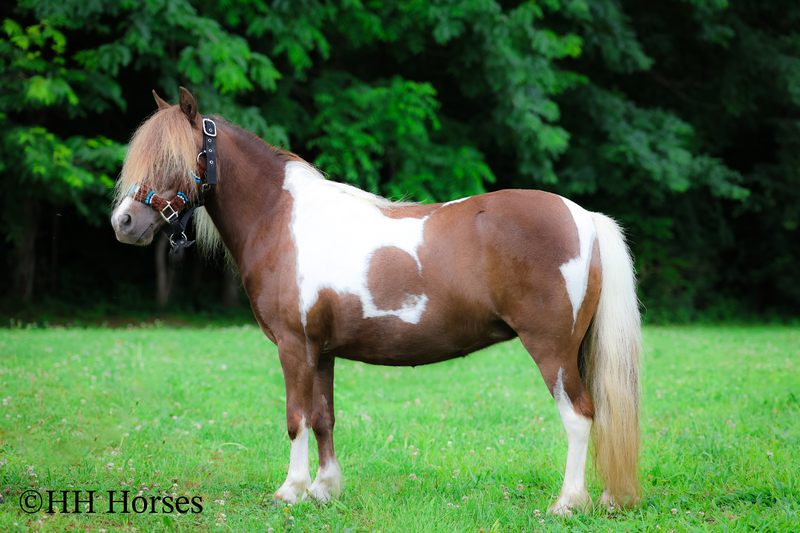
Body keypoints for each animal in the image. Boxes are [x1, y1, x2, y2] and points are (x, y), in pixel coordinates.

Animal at [111, 88, 642, 515]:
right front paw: (323, 491)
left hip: (552, 350)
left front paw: (290, 491)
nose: (124, 223)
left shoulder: (293, 346)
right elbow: (323, 417)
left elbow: (296, 418)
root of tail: (584, 217)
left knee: (578, 417)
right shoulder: (321, 351)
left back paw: (566, 503)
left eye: (173, 157)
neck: (282, 220)